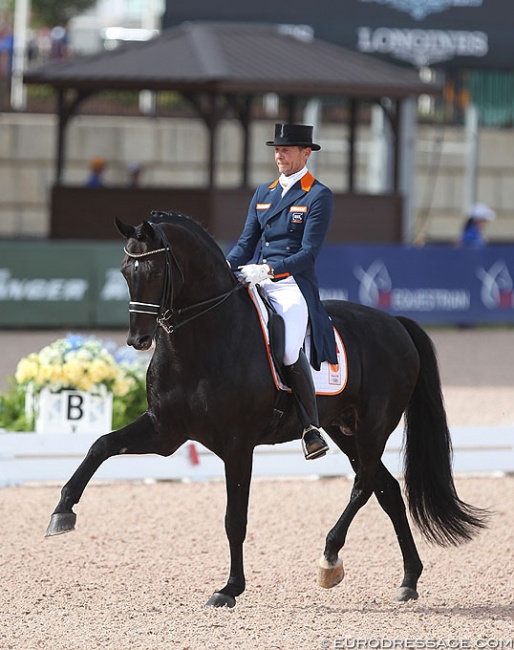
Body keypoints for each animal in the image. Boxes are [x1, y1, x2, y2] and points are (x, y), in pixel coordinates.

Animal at [45, 210, 484, 604]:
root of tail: (394, 323)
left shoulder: (238, 445)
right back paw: (409, 580)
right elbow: (101, 445)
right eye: (124, 271)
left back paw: (330, 559)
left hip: (374, 426)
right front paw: (62, 511)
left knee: (364, 486)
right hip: (345, 430)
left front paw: (229, 589)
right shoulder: (164, 431)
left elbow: (234, 519)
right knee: (387, 489)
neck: (202, 341)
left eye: (154, 272)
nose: (138, 340)